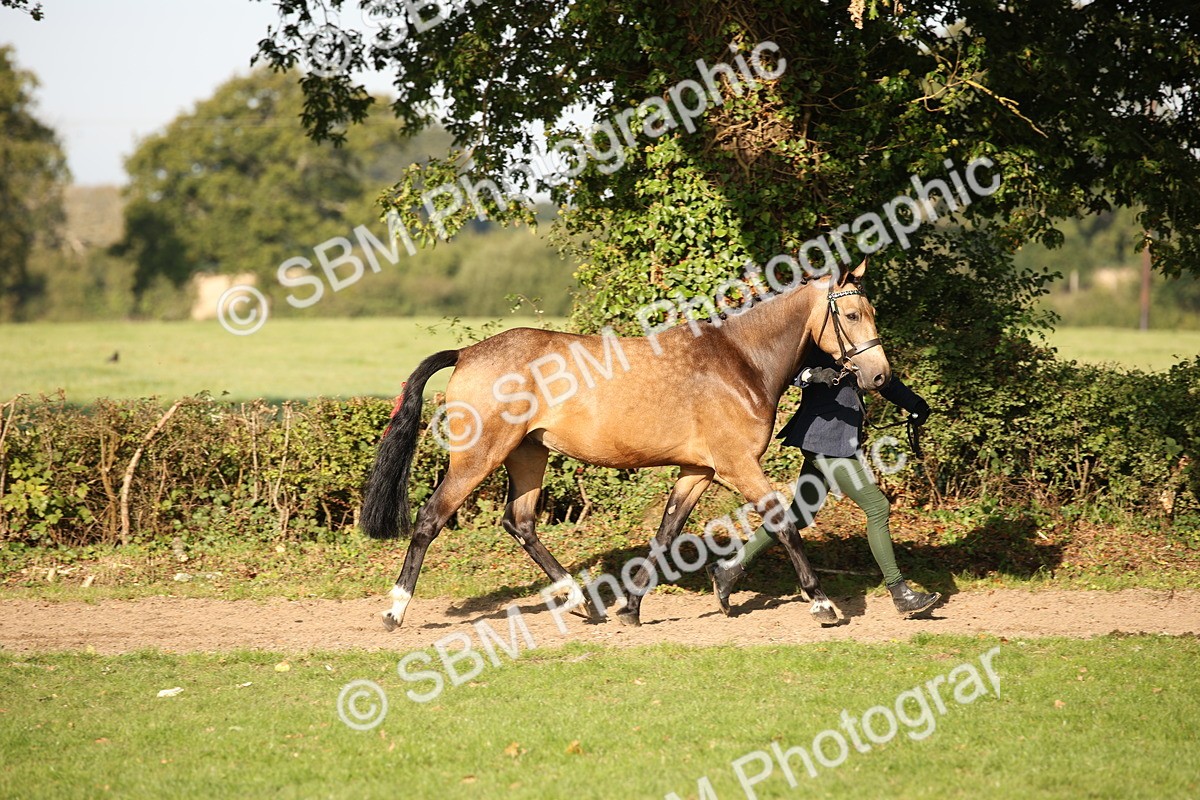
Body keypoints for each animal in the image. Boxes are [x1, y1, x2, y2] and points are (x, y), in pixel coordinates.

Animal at [361, 258, 890, 630]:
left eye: (871, 312)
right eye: (850, 314)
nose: (880, 376)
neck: (740, 360)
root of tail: (468, 352)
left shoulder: (699, 471)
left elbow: (666, 534)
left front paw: (632, 608)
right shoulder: (738, 466)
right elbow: (783, 525)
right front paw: (822, 604)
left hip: (529, 454)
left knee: (521, 522)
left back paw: (581, 601)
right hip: (478, 457)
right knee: (431, 519)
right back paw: (395, 611)